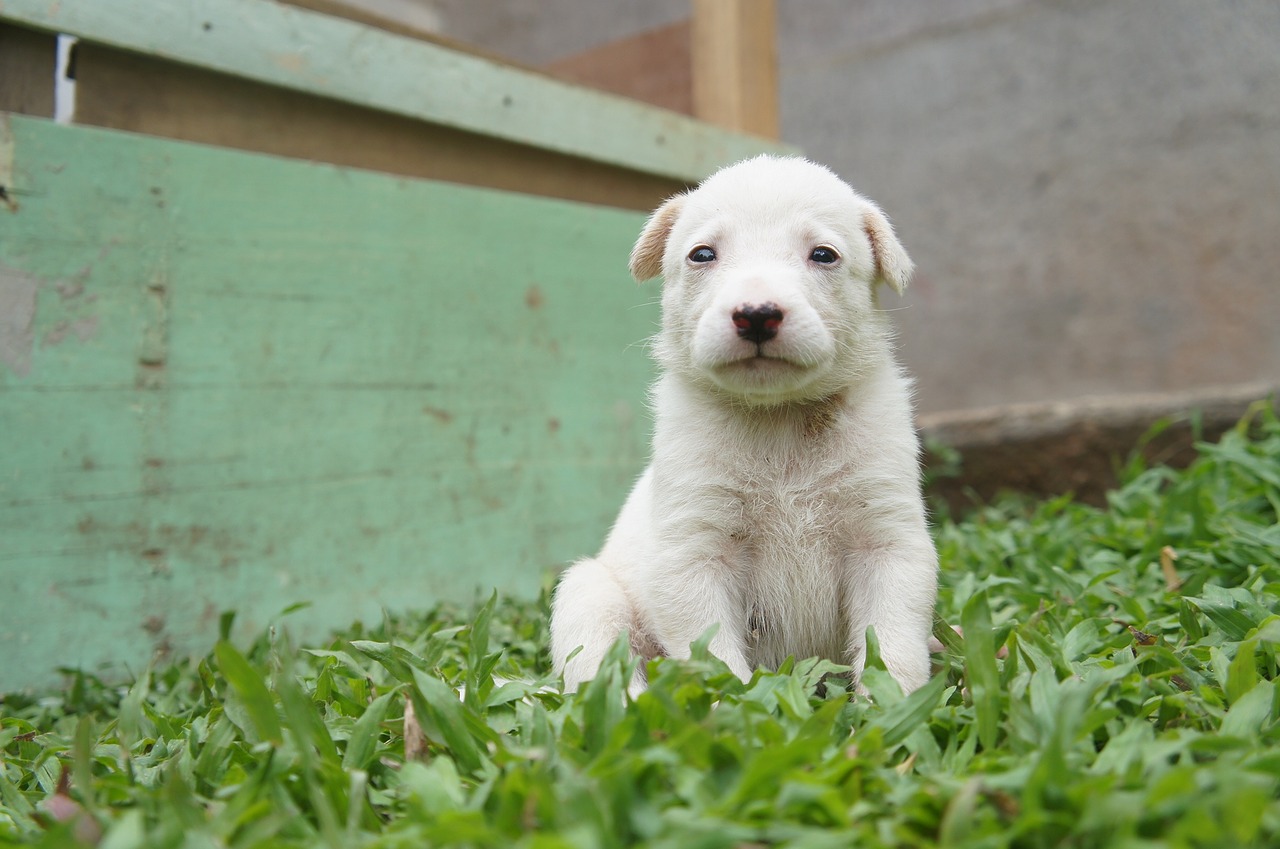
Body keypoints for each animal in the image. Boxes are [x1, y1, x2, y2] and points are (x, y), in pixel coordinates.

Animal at [550, 154, 942, 696]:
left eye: (824, 254)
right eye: (702, 254)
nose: (757, 315)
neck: (779, 418)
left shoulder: (887, 539)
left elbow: (893, 640)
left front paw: (891, 703)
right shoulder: (695, 548)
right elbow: (711, 653)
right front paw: (728, 707)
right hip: (588, 595)